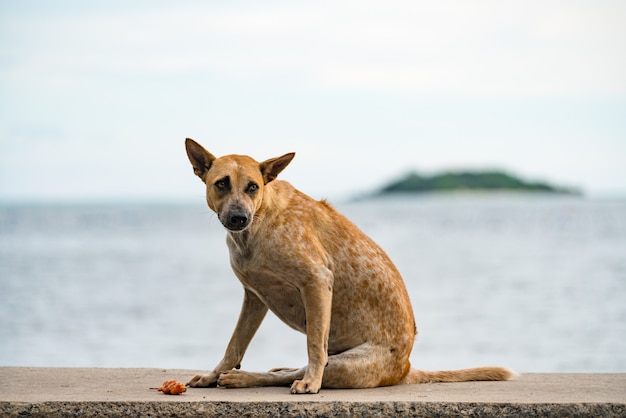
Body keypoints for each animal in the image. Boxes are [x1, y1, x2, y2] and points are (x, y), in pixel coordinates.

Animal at [184, 139, 512, 394]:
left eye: (253, 187)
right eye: (221, 183)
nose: (239, 217)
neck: (257, 227)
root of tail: (405, 369)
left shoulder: (316, 281)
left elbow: (315, 344)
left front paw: (310, 383)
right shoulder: (254, 297)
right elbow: (234, 345)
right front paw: (212, 375)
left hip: (343, 364)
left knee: (301, 369)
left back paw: (253, 378)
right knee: (288, 371)